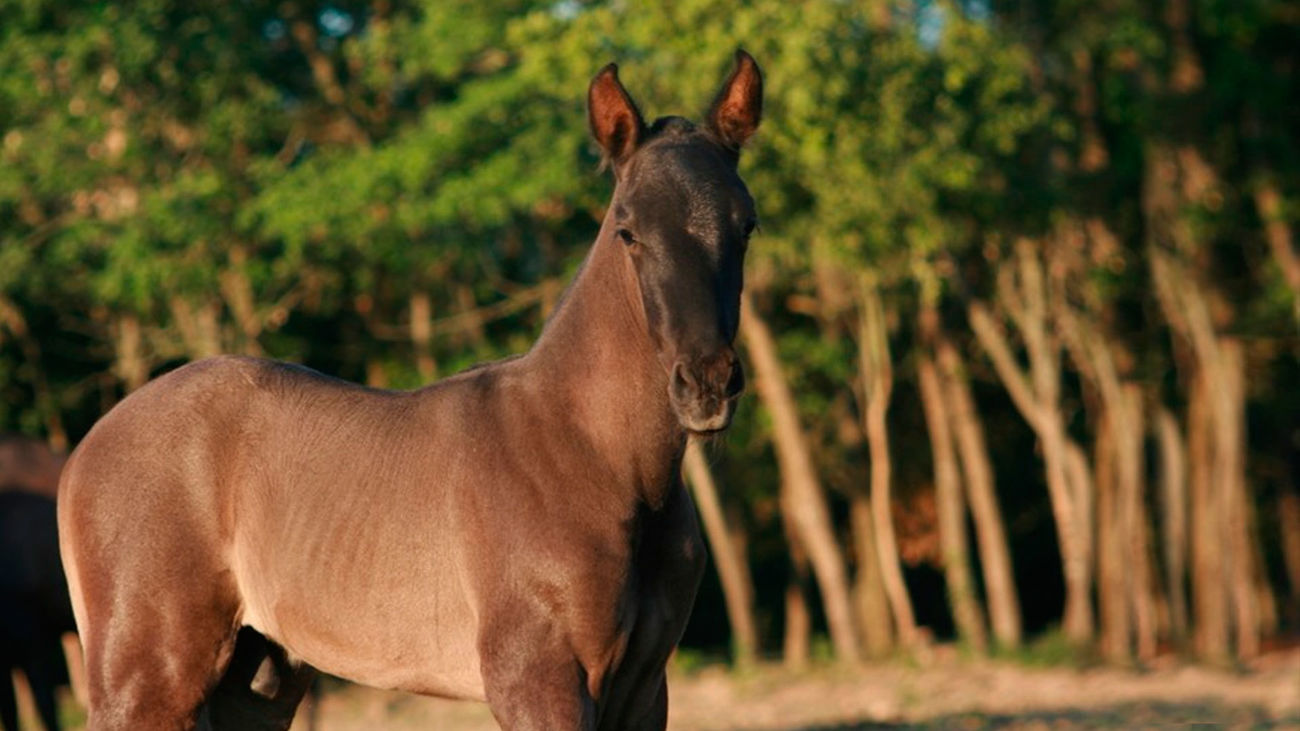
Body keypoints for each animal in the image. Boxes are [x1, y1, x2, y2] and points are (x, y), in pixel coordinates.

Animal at [58, 50, 762, 730]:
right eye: (628, 230)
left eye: (746, 225)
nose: (706, 382)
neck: (595, 459)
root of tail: (84, 451)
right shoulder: (538, 683)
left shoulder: (643, 692)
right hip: (145, 682)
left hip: (257, 681)